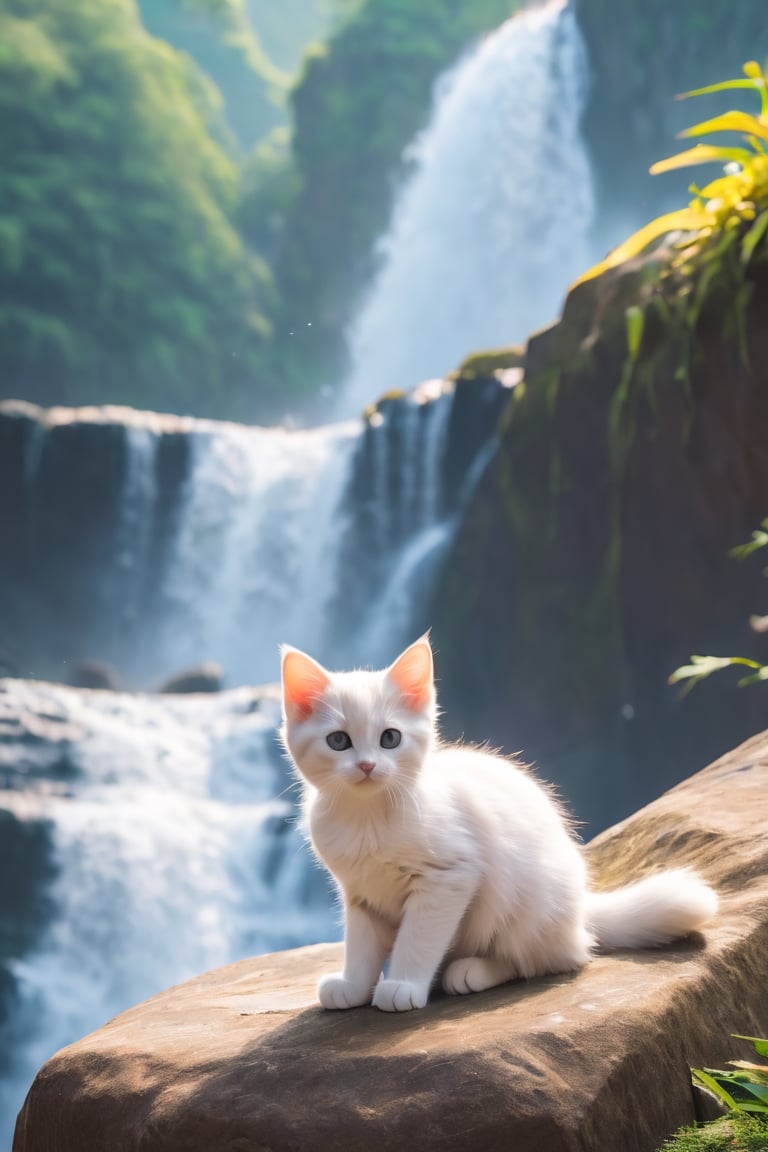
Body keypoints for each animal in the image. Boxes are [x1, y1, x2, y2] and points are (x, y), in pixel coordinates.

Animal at [279, 635, 718, 1013]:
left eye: (390, 738)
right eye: (338, 741)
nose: (368, 766)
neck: (366, 816)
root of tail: (580, 909)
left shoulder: (448, 878)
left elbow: (417, 940)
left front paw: (403, 984)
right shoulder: (361, 894)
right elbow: (361, 946)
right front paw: (353, 986)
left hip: (526, 901)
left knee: (555, 959)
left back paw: (471, 970)